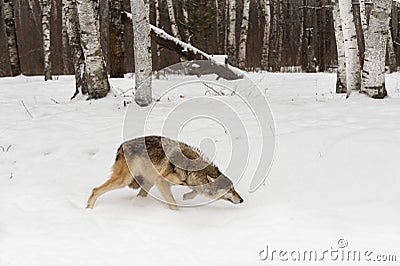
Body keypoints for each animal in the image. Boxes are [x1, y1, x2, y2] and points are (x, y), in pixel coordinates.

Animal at [86, 136, 244, 209]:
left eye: (234, 188)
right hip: (124, 180)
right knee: (95, 190)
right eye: (230, 189)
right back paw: (89, 210)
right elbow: (173, 204)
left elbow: (194, 191)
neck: (190, 167)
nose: (242, 200)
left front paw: (187, 196)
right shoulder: (161, 182)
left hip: (147, 182)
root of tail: (121, 146)